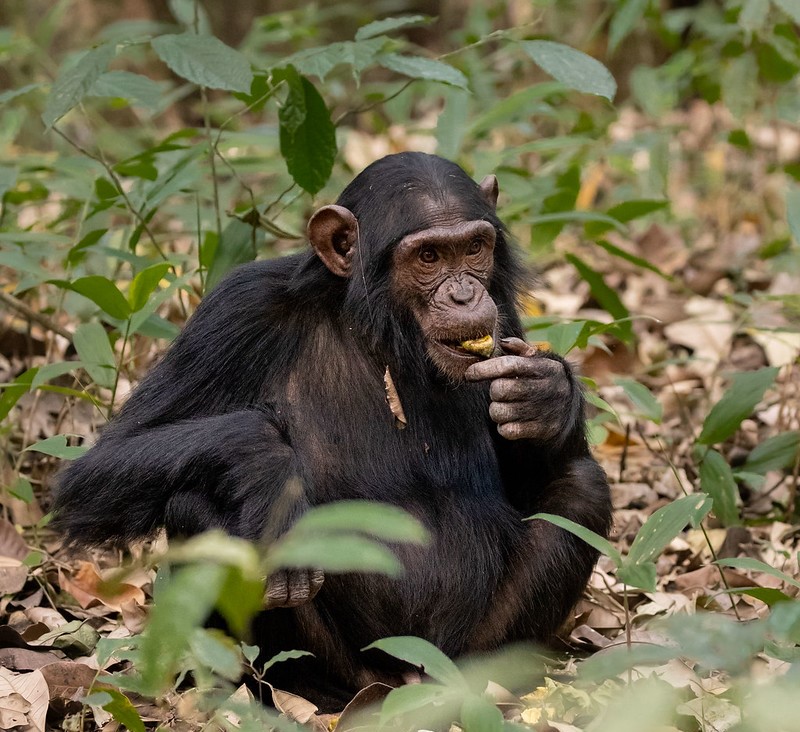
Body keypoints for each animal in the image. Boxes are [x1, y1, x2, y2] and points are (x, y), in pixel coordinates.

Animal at [51, 153, 612, 708]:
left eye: (475, 248)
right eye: (429, 256)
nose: (464, 292)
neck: (379, 332)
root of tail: (405, 677)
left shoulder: (506, 322)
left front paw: (547, 394)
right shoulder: (236, 310)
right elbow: (102, 466)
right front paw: (266, 468)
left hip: (462, 650)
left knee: (581, 489)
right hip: (352, 669)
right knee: (193, 502)